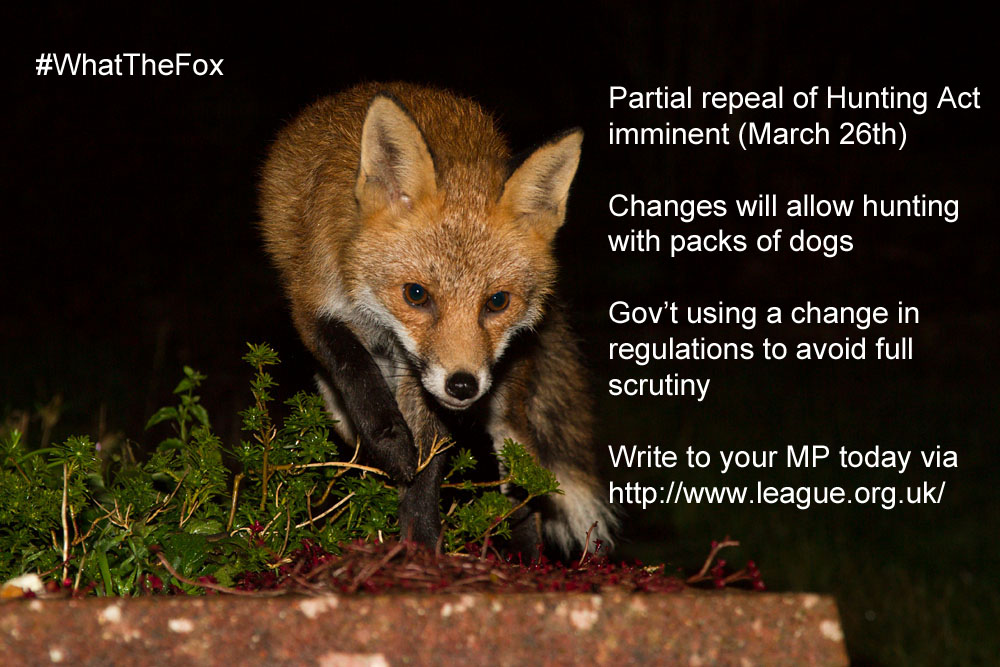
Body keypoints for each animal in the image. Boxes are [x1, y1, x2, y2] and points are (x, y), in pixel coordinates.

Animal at [258, 82, 617, 557]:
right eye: (416, 295)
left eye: (497, 302)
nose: (463, 386)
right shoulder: (311, 296)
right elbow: (353, 365)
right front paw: (391, 443)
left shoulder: (425, 375)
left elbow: (429, 462)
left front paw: (421, 545)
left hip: (506, 405)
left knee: (521, 487)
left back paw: (525, 557)